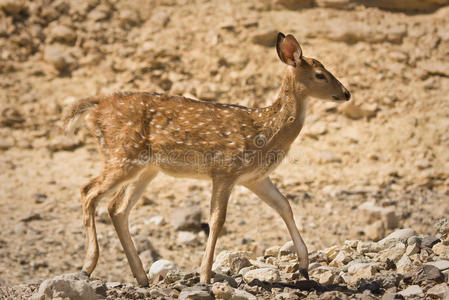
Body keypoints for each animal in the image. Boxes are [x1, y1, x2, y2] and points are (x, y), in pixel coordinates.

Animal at [63, 32, 350, 286]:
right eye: (320, 74)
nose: (347, 93)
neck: (264, 131)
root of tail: (95, 106)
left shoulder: (255, 178)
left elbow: (284, 206)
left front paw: (304, 267)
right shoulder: (225, 170)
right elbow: (217, 220)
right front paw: (204, 276)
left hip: (145, 168)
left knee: (117, 207)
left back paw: (141, 277)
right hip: (122, 154)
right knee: (88, 191)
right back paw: (87, 266)